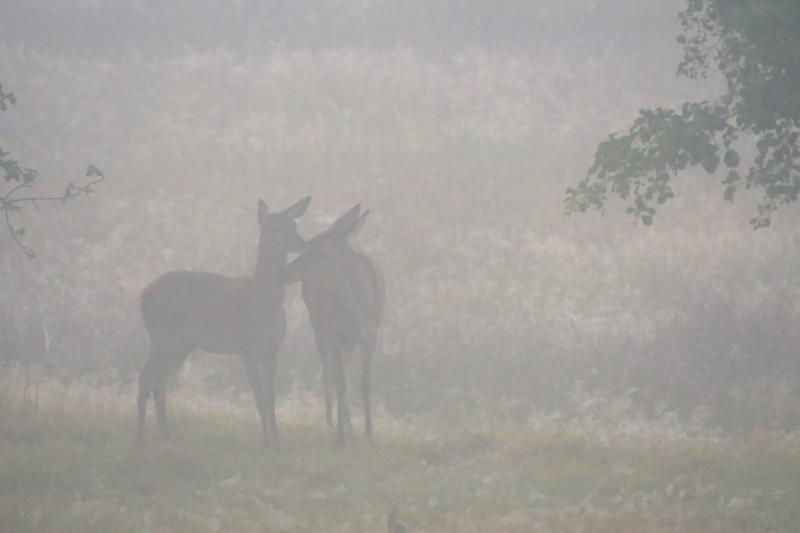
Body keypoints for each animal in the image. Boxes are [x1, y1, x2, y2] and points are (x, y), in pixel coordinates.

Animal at [136, 195, 310, 448]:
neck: (263, 300)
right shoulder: (246, 348)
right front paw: (266, 444)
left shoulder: (272, 351)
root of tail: (143, 296)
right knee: (146, 376)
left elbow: (272, 401)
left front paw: (277, 445)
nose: (302, 243)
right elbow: (260, 399)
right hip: (163, 337)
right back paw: (140, 440)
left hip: (180, 345)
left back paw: (167, 437)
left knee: (159, 381)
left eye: (294, 225)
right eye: (275, 228)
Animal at [282, 205, 386, 444]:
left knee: (342, 370)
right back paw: (331, 421)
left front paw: (368, 433)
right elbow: (341, 382)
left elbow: (364, 382)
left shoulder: (371, 336)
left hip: (347, 341)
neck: (358, 312)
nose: (283, 272)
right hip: (318, 326)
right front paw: (340, 437)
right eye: (307, 245)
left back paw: (348, 424)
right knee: (328, 371)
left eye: (321, 252)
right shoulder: (335, 333)